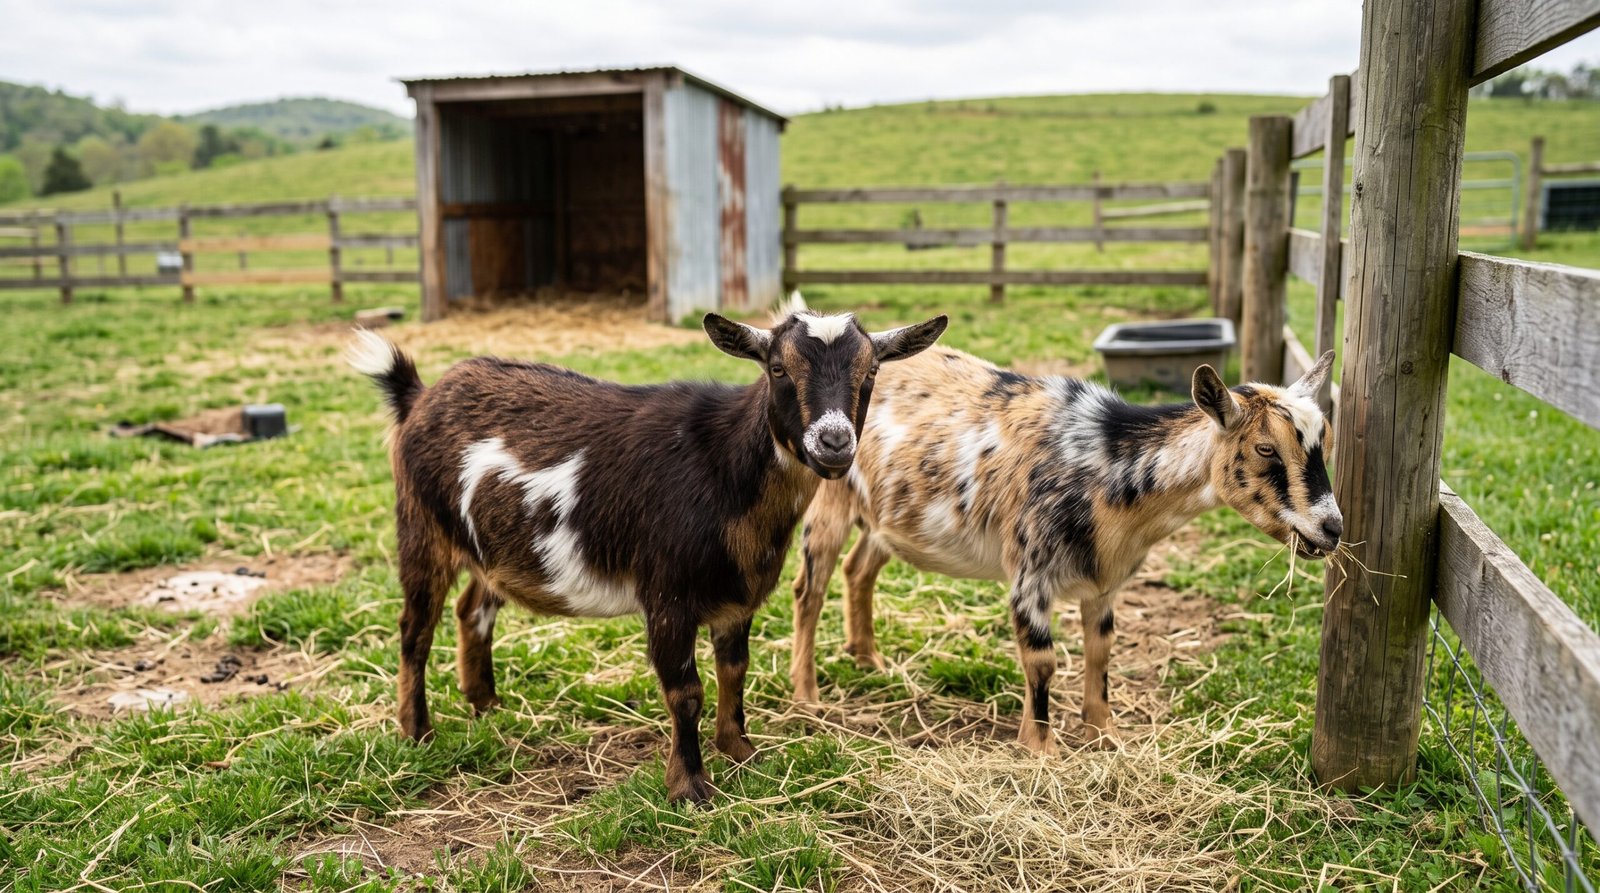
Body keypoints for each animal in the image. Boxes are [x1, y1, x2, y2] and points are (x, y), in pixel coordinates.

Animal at [350, 309, 946, 801]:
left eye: (871, 373)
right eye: (778, 368)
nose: (834, 443)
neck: (723, 468)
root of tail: (420, 396)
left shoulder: (738, 598)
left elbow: (735, 669)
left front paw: (741, 752)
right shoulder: (667, 595)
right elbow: (685, 691)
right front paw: (690, 787)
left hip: (491, 548)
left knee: (472, 608)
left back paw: (485, 704)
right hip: (421, 526)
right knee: (415, 629)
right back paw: (418, 731)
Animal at [789, 344, 1340, 753]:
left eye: (1326, 441)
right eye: (1265, 448)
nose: (1331, 528)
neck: (1105, 468)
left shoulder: (1104, 581)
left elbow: (1101, 650)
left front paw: (1104, 732)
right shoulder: (1029, 575)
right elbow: (1042, 660)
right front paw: (1040, 749)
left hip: (884, 518)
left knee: (858, 571)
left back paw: (867, 657)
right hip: (829, 501)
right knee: (808, 590)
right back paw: (807, 697)